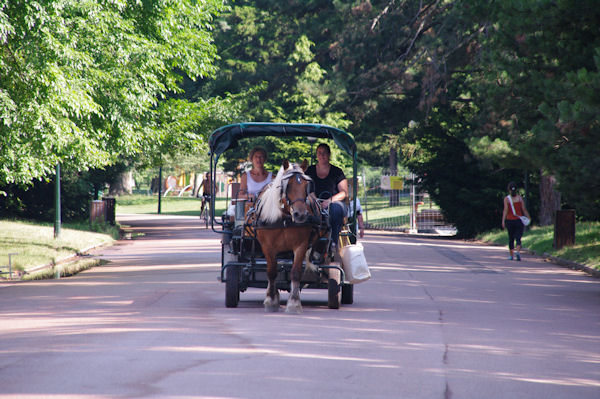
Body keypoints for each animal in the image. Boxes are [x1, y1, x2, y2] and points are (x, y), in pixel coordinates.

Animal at [253, 161, 318, 314]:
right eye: (287, 186)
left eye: (306, 186)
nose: (300, 215)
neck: (284, 219)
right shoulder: (268, 247)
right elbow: (271, 272)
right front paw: (271, 300)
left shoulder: (301, 245)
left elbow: (295, 273)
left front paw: (294, 303)